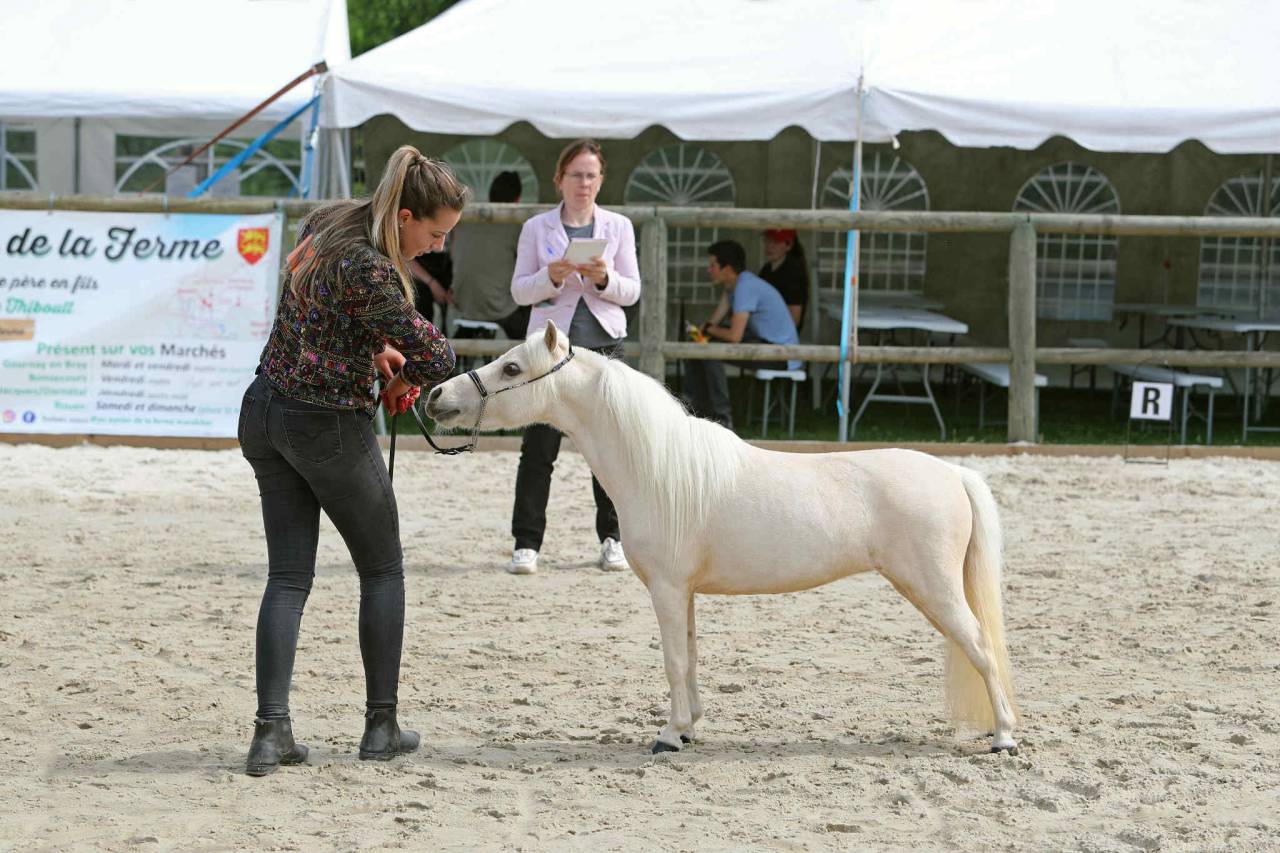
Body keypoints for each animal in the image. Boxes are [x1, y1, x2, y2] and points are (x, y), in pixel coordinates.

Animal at [425, 321, 1019, 755]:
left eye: (512, 367)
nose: (435, 395)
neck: (657, 468)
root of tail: (954, 474)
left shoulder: (666, 590)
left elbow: (672, 661)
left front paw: (668, 738)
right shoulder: (684, 594)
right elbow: (688, 658)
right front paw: (689, 728)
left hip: (934, 589)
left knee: (982, 648)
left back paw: (1004, 739)